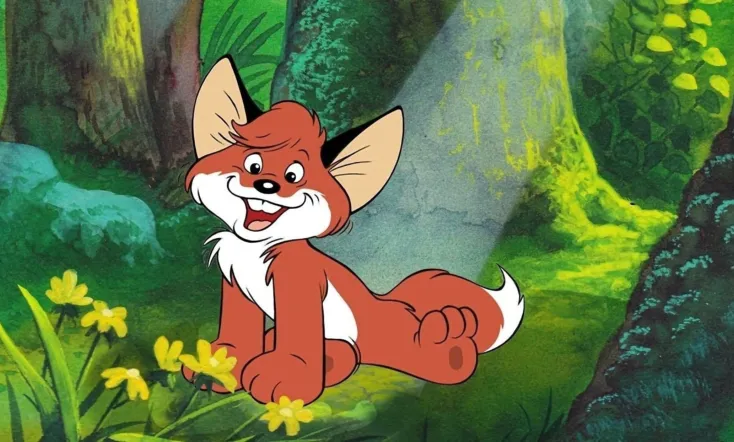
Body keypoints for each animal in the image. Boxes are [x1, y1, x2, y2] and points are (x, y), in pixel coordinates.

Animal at [182, 55, 525, 405]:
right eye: (253, 165)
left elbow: (297, 341)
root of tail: (384, 302)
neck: (256, 249)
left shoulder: (299, 282)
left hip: (398, 341)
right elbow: (239, 332)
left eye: (294, 175)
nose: (266, 185)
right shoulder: (234, 279)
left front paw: (285, 378)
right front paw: (218, 366)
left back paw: (448, 335)